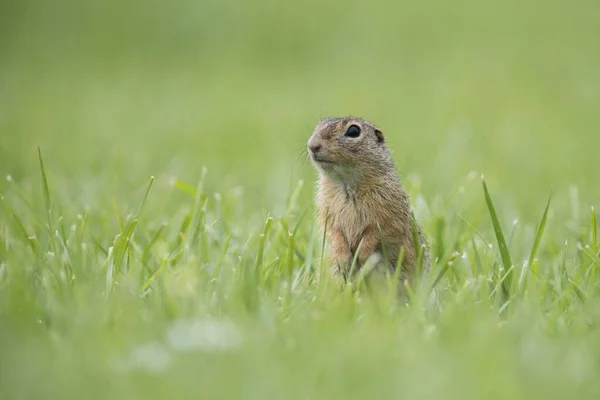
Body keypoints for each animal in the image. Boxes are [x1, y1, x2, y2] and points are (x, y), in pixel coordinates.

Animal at [308, 115, 428, 288]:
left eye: (353, 131)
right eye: (317, 126)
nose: (312, 145)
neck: (347, 183)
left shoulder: (390, 213)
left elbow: (378, 232)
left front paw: (362, 255)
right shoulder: (326, 210)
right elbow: (332, 231)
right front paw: (344, 258)